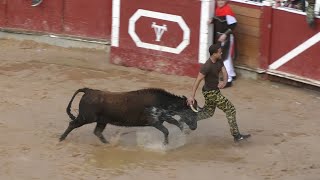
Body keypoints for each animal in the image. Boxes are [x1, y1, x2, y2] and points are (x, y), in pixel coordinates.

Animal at [59, 87, 200, 145]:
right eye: (192, 112)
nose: (194, 127)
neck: (162, 102)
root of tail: (88, 90)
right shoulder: (154, 121)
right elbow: (166, 130)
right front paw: (165, 144)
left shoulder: (164, 118)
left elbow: (176, 123)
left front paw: (183, 134)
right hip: (86, 117)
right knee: (72, 124)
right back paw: (61, 138)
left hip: (101, 121)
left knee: (97, 132)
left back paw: (108, 144)